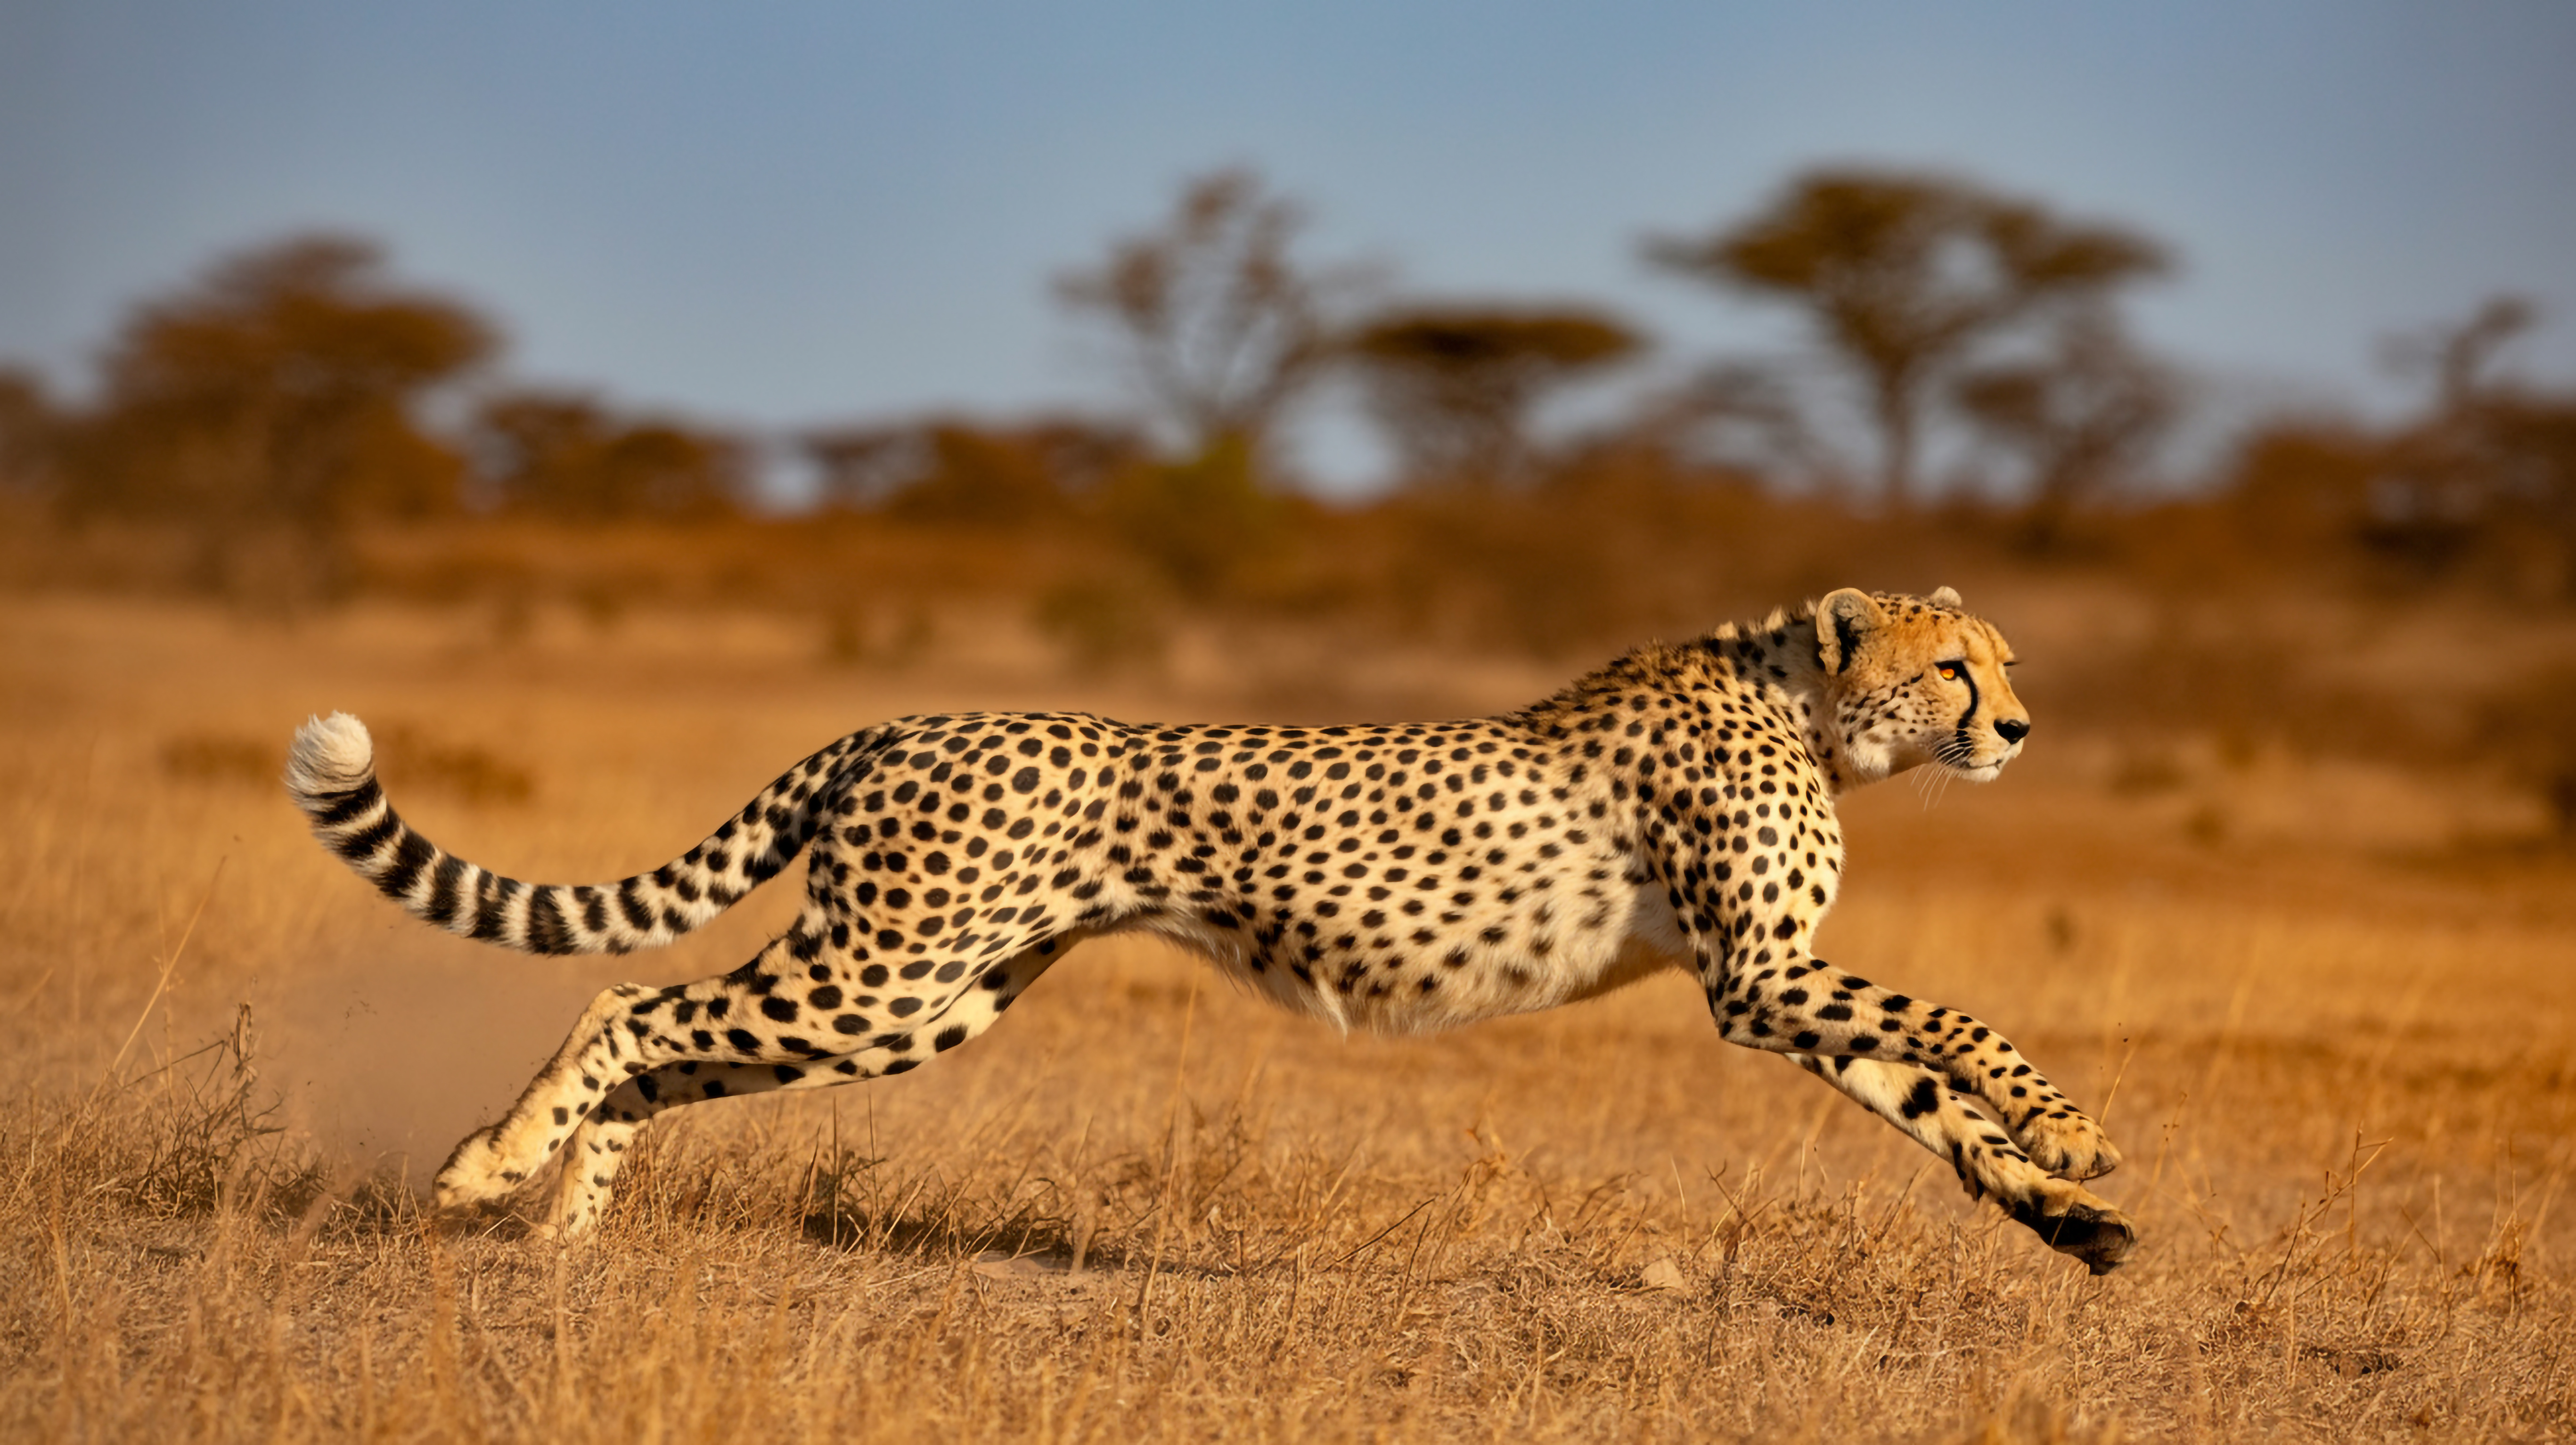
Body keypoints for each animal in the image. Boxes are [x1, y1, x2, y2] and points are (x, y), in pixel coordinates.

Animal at [286, 585, 2135, 1273]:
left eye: (2005, 659)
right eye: (1955, 666)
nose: (2022, 726)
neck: (1807, 704)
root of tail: (900, 720)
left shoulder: (1771, 990)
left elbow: (1929, 1106)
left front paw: (2067, 1216)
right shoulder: (1755, 978)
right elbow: (1961, 1030)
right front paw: (2078, 1133)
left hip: (921, 999)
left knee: (661, 1040)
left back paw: (563, 1231)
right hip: (883, 969)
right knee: (632, 1001)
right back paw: (486, 1166)